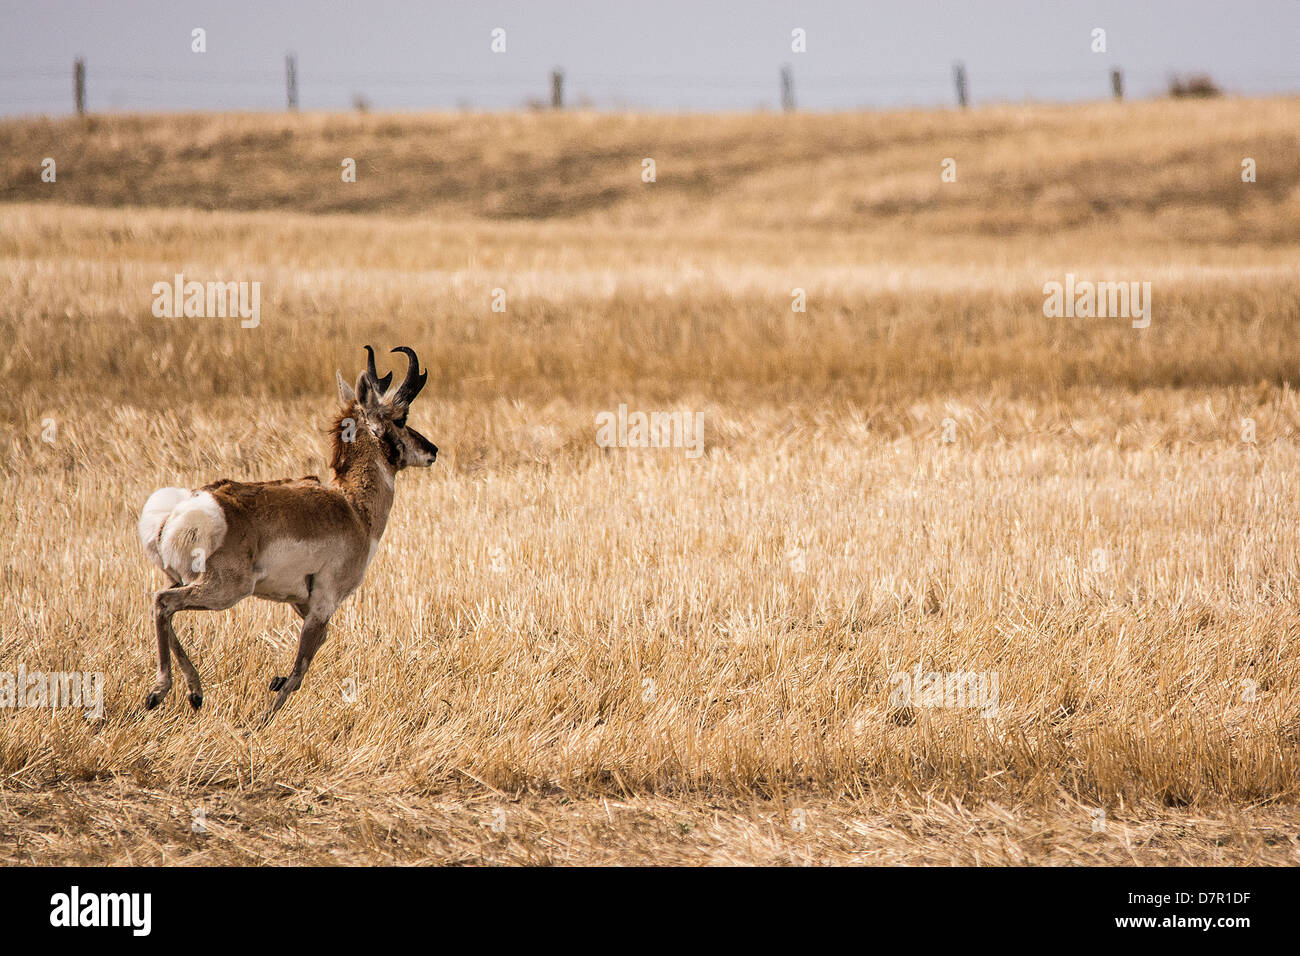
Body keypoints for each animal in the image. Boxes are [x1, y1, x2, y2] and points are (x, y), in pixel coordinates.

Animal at [139, 348, 436, 712]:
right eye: (401, 418)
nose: (432, 450)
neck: (353, 508)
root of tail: (187, 507)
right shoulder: (323, 602)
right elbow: (298, 673)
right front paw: (263, 716)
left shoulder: (302, 603)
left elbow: (318, 646)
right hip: (226, 590)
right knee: (163, 602)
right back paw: (159, 690)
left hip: (187, 580)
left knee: (163, 608)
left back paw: (194, 692)